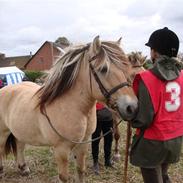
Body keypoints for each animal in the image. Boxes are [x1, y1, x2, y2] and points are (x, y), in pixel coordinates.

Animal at [0, 36, 138, 183]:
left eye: (126, 68)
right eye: (103, 69)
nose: (132, 107)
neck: (72, 107)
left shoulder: (83, 145)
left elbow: (80, 171)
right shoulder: (61, 149)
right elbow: (64, 177)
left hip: (19, 130)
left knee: (19, 145)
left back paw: (23, 168)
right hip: (3, 133)